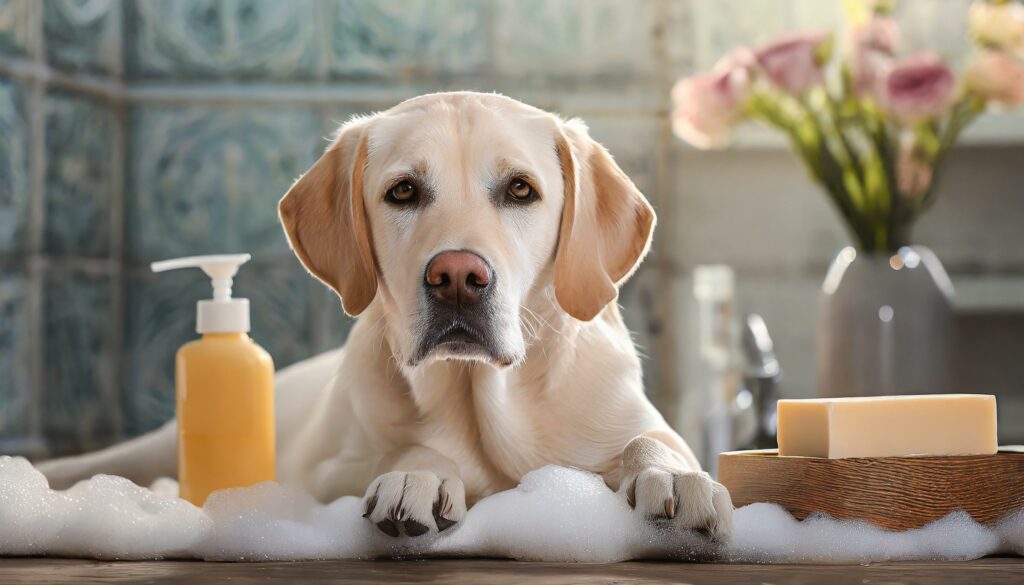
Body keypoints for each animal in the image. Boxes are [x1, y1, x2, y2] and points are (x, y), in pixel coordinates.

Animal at [36, 90, 733, 540]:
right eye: (403, 192)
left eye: (521, 189)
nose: (458, 279)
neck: (479, 399)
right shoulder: (320, 476)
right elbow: (412, 450)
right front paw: (417, 476)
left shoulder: (635, 421)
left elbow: (652, 441)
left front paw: (675, 479)